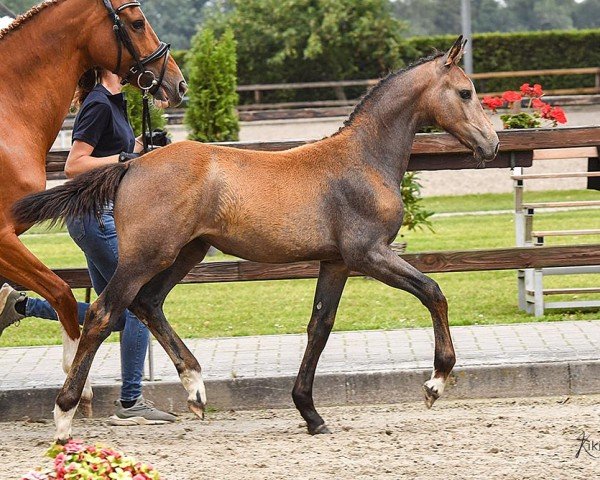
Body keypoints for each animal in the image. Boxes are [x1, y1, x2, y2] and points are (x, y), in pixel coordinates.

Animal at [16, 37, 500, 442]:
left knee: (147, 303)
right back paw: (64, 417)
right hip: (147, 255)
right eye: (465, 92)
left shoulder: (337, 262)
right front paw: (435, 383)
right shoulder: (369, 253)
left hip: (186, 252)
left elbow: (319, 327)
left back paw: (195, 390)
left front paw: (311, 414)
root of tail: (132, 164)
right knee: (103, 313)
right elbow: (433, 291)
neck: (363, 159)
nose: (492, 144)